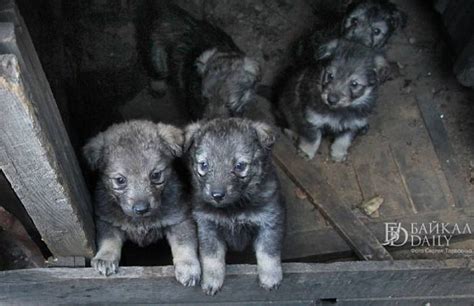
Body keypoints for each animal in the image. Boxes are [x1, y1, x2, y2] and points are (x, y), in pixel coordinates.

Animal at [82, 120, 200, 286]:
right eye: (120, 180)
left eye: (156, 175)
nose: (141, 209)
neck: (142, 221)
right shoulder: (107, 221)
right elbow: (109, 240)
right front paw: (105, 258)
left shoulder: (180, 220)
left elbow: (184, 245)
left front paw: (188, 266)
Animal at [183, 118, 284, 296]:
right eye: (204, 165)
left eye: (240, 166)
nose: (217, 195)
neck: (234, 207)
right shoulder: (208, 226)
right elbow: (212, 256)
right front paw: (212, 281)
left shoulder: (269, 222)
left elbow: (268, 252)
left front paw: (270, 277)